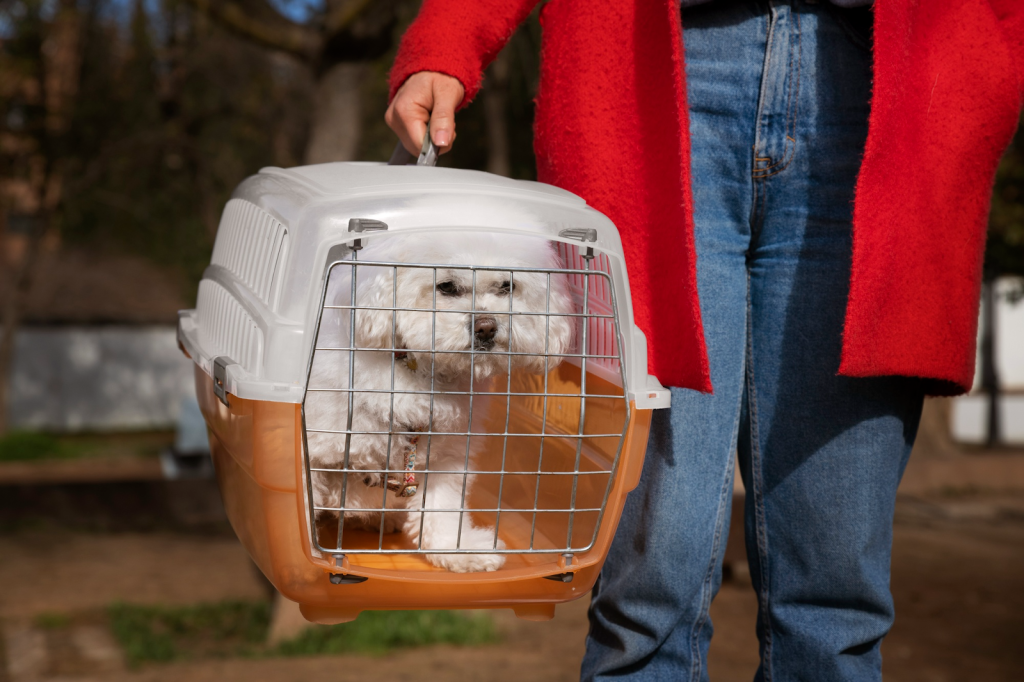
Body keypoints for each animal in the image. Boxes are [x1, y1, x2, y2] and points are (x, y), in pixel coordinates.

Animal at [303, 231, 577, 569]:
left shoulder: (445, 459)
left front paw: (460, 551)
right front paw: (307, 555)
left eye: (507, 286)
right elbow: (301, 506)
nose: (486, 327)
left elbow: (441, 511)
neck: (422, 374)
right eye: (446, 286)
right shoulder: (312, 451)